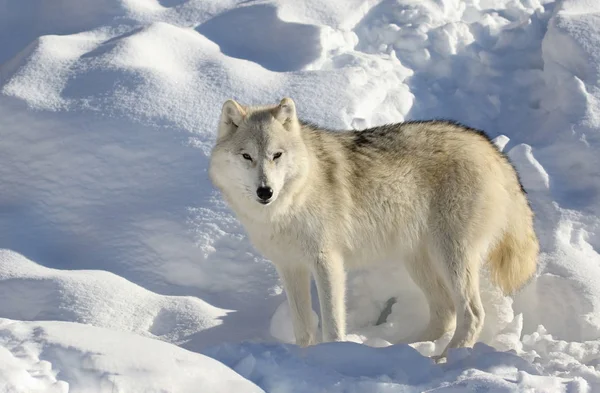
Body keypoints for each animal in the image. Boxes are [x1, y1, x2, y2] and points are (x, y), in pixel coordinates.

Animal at [207, 96, 540, 356]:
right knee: (445, 312)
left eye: (276, 155)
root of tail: (490, 147)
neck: (289, 204)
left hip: (451, 258)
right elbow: (303, 328)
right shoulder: (290, 267)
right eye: (247, 156)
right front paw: (306, 360)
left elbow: (332, 323)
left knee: (472, 313)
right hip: (418, 261)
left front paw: (331, 358)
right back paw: (403, 349)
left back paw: (444, 358)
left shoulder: (327, 262)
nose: (265, 192)